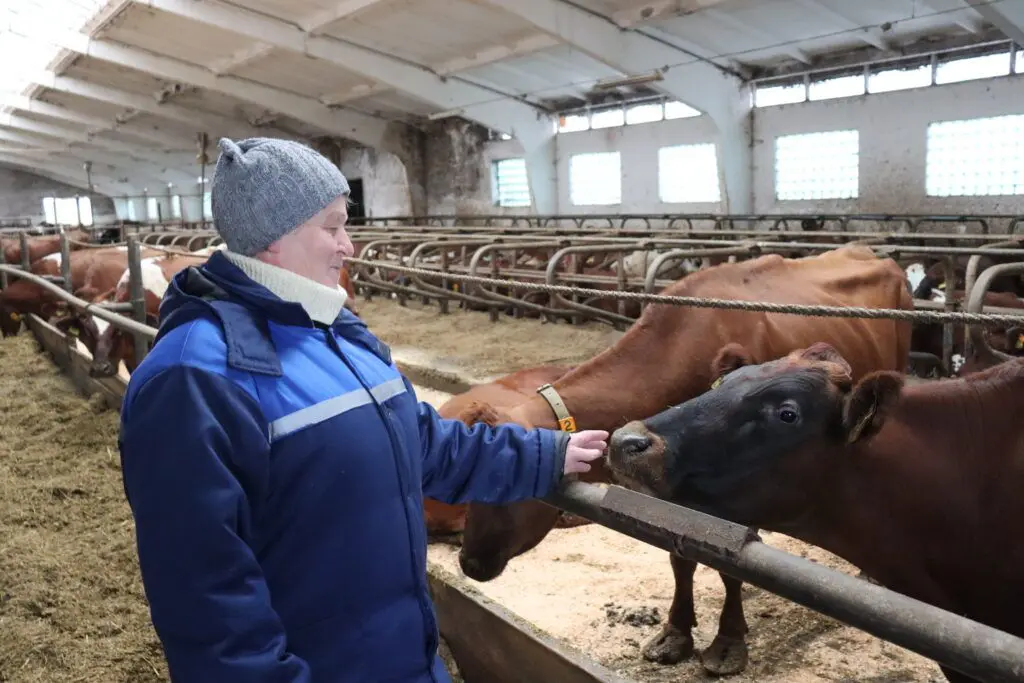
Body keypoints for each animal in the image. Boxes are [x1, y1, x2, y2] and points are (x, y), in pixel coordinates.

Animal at [454, 246, 913, 679]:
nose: (468, 561)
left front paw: (728, 643)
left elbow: (731, 568)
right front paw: (676, 633)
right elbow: (679, 558)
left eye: (502, 481)